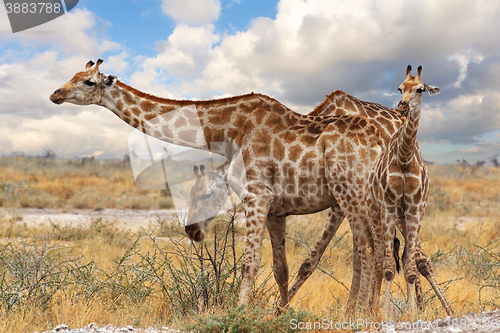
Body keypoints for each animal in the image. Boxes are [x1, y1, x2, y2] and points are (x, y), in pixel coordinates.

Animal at [47, 58, 382, 310]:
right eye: (73, 75)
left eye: (88, 82)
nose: (55, 95)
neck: (231, 129)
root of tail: (379, 141)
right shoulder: (276, 209)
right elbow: (280, 269)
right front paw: (279, 314)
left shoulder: (257, 197)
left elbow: (249, 264)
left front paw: (240, 314)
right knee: (372, 250)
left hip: (352, 194)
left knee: (368, 250)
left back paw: (365, 315)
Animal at [368, 65, 442, 320]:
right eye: (400, 88)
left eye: (420, 89)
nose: (403, 105)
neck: (404, 157)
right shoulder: (389, 207)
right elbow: (390, 268)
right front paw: (387, 315)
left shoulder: (414, 208)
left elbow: (410, 267)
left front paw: (411, 314)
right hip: (376, 214)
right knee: (381, 258)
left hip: (404, 217)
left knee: (405, 257)